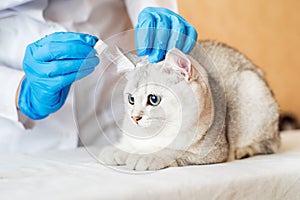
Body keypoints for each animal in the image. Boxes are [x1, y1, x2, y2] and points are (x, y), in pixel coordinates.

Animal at [99, 41, 282, 170]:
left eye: (153, 99)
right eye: (131, 99)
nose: (134, 117)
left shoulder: (213, 152)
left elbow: (173, 152)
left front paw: (147, 156)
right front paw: (119, 150)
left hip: (253, 89)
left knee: (269, 145)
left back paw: (243, 151)